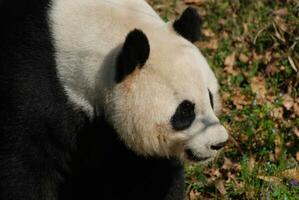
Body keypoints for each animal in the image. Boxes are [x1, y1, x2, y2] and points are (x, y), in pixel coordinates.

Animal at [0, 0, 230, 200]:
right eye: (185, 111)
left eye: (210, 98)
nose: (218, 143)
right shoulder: (37, 86)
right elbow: (26, 167)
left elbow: (150, 175)